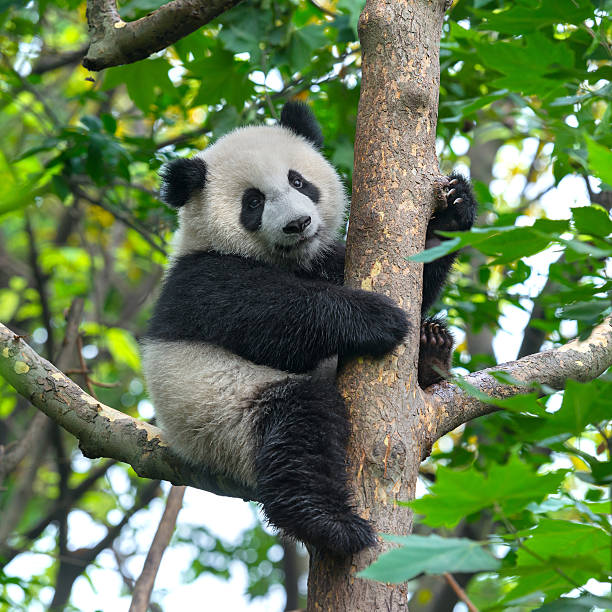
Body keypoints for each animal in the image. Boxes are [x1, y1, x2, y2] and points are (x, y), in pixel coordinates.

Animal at [142, 100, 478, 556]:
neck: (287, 259)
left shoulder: (326, 259)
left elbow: (419, 276)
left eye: (298, 181)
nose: (298, 224)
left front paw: (454, 209)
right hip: (223, 417)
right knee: (298, 428)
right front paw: (376, 318)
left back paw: (431, 350)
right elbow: (271, 319)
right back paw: (329, 522)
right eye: (253, 202)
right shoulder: (202, 280)